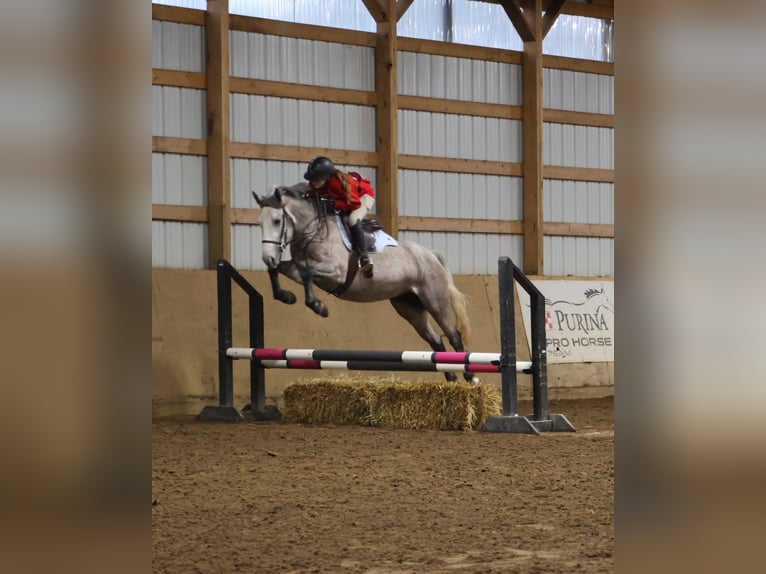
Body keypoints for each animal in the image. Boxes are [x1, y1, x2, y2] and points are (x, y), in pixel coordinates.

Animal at [252, 182, 476, 383]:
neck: (314, 232)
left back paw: (470, 376)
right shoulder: (296, 269)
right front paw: (286, 296)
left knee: (454, 335)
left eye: (277, 221)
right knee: (435, 339)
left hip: (435, 300)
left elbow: (309, 275)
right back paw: (450, 375)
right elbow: (278, 271)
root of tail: (430, 254)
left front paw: (319, 307)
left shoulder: (336, 273)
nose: (268, 257)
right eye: (260, 223)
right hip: (409, 306)